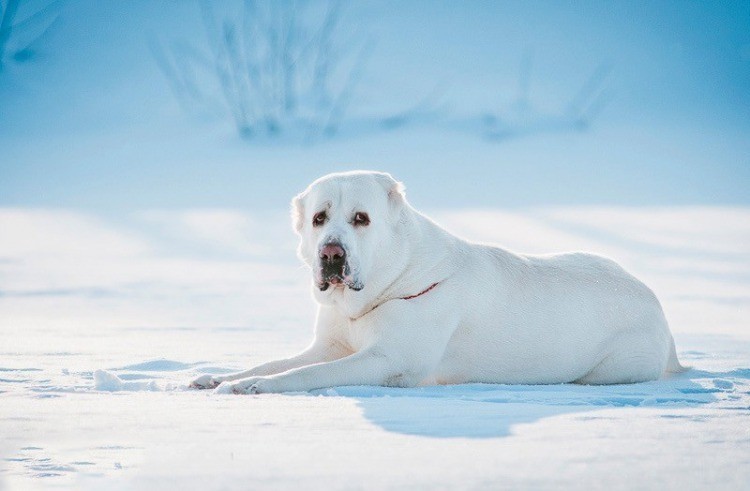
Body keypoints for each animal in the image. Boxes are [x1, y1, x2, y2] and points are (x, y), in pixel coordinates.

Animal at [191, 171, 684, 394]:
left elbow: (307, 373)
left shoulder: (388, 361)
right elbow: (279, 361)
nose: (331, 254)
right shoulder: (330, 344)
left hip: (612, 368)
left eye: (361, 218)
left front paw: (250, 387)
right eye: (318, 218)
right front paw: (220, 376)